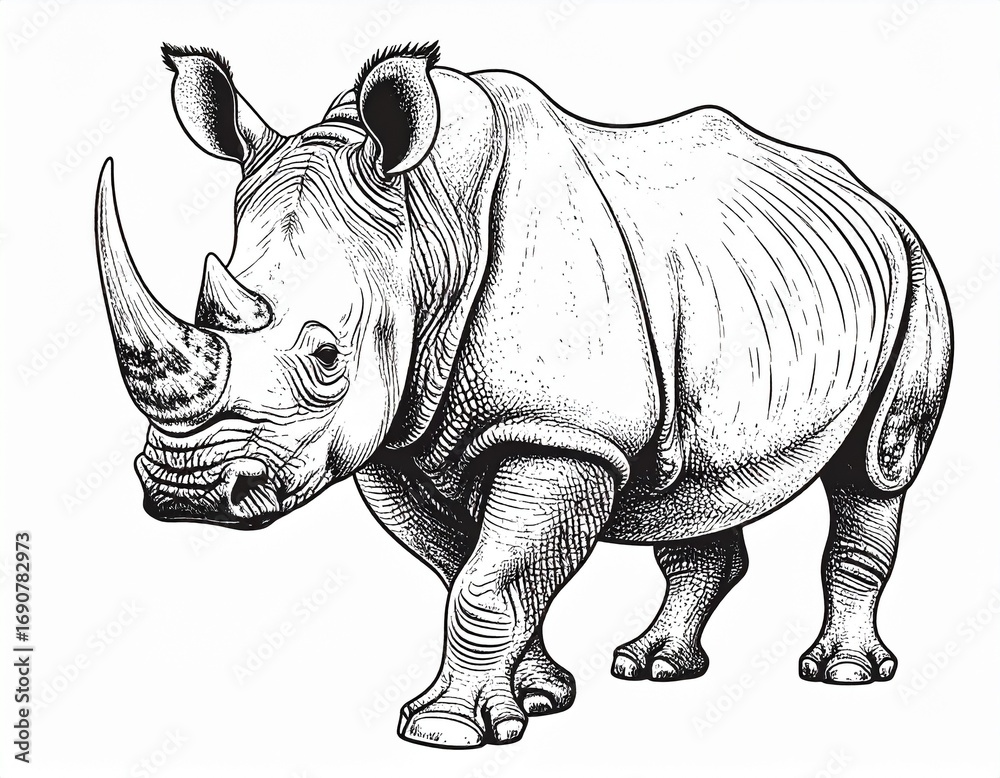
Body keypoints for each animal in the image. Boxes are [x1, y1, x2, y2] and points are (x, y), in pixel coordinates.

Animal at [95, 42, 953, 748]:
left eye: (327, 356)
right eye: (202, 311)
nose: (186, 490)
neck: (428, 225)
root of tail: (868, 192)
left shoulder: (560, 430)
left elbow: (491, 578)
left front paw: (444, 734)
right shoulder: (399, 434)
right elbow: (472, 570)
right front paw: (536, 701)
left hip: (916, 270)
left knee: (877, 468)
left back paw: (842, 673)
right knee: (700, 486)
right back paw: (653, 666)